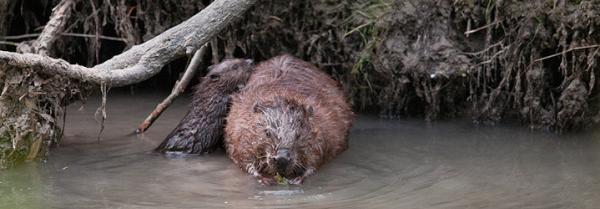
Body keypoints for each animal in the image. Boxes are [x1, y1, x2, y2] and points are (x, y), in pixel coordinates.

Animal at [224, 54, 354, 185]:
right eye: (267, 133)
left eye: (298, 135)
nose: (282, 159)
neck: (281, 93)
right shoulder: (240, 127)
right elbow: (244, 157)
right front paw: (264, 178)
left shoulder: (322, 127)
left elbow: (316, 157)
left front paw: (298, 179)